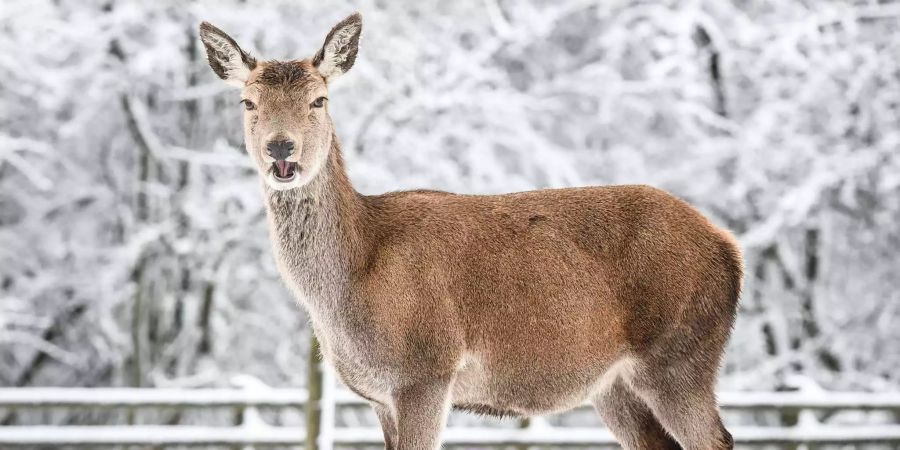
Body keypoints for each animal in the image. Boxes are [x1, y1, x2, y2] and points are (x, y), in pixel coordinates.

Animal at [200, 13, 740, 450]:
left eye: (319, 100)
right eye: (247, 102)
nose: (281, 147)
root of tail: (729, 249)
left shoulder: (427, 369)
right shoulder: (377, 395)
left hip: (678, 352)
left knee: (716, 437)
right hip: (615, 386)